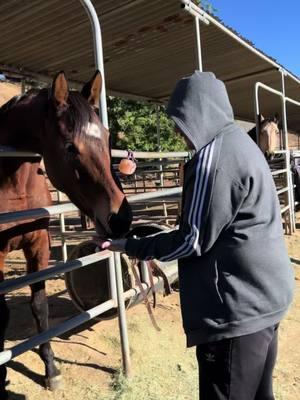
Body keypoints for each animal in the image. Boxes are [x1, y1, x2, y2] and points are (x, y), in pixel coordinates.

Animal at [0, 70, 131, 398]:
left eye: (108, 138)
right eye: (71, 147)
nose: (121, 218)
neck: (14, 185)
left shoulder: (38, 247)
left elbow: (40, 306)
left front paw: (51, 369)